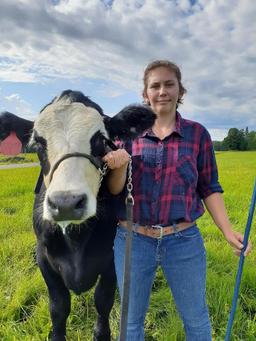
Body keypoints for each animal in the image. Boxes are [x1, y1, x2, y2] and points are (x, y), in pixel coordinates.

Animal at [16, 90, 156, 340]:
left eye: (101, 140)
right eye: (37, 143)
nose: (66, 203)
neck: (76, 239)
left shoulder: (112, 256)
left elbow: (103, 300)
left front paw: (102, 333)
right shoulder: (44, 257)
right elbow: (59, 307)